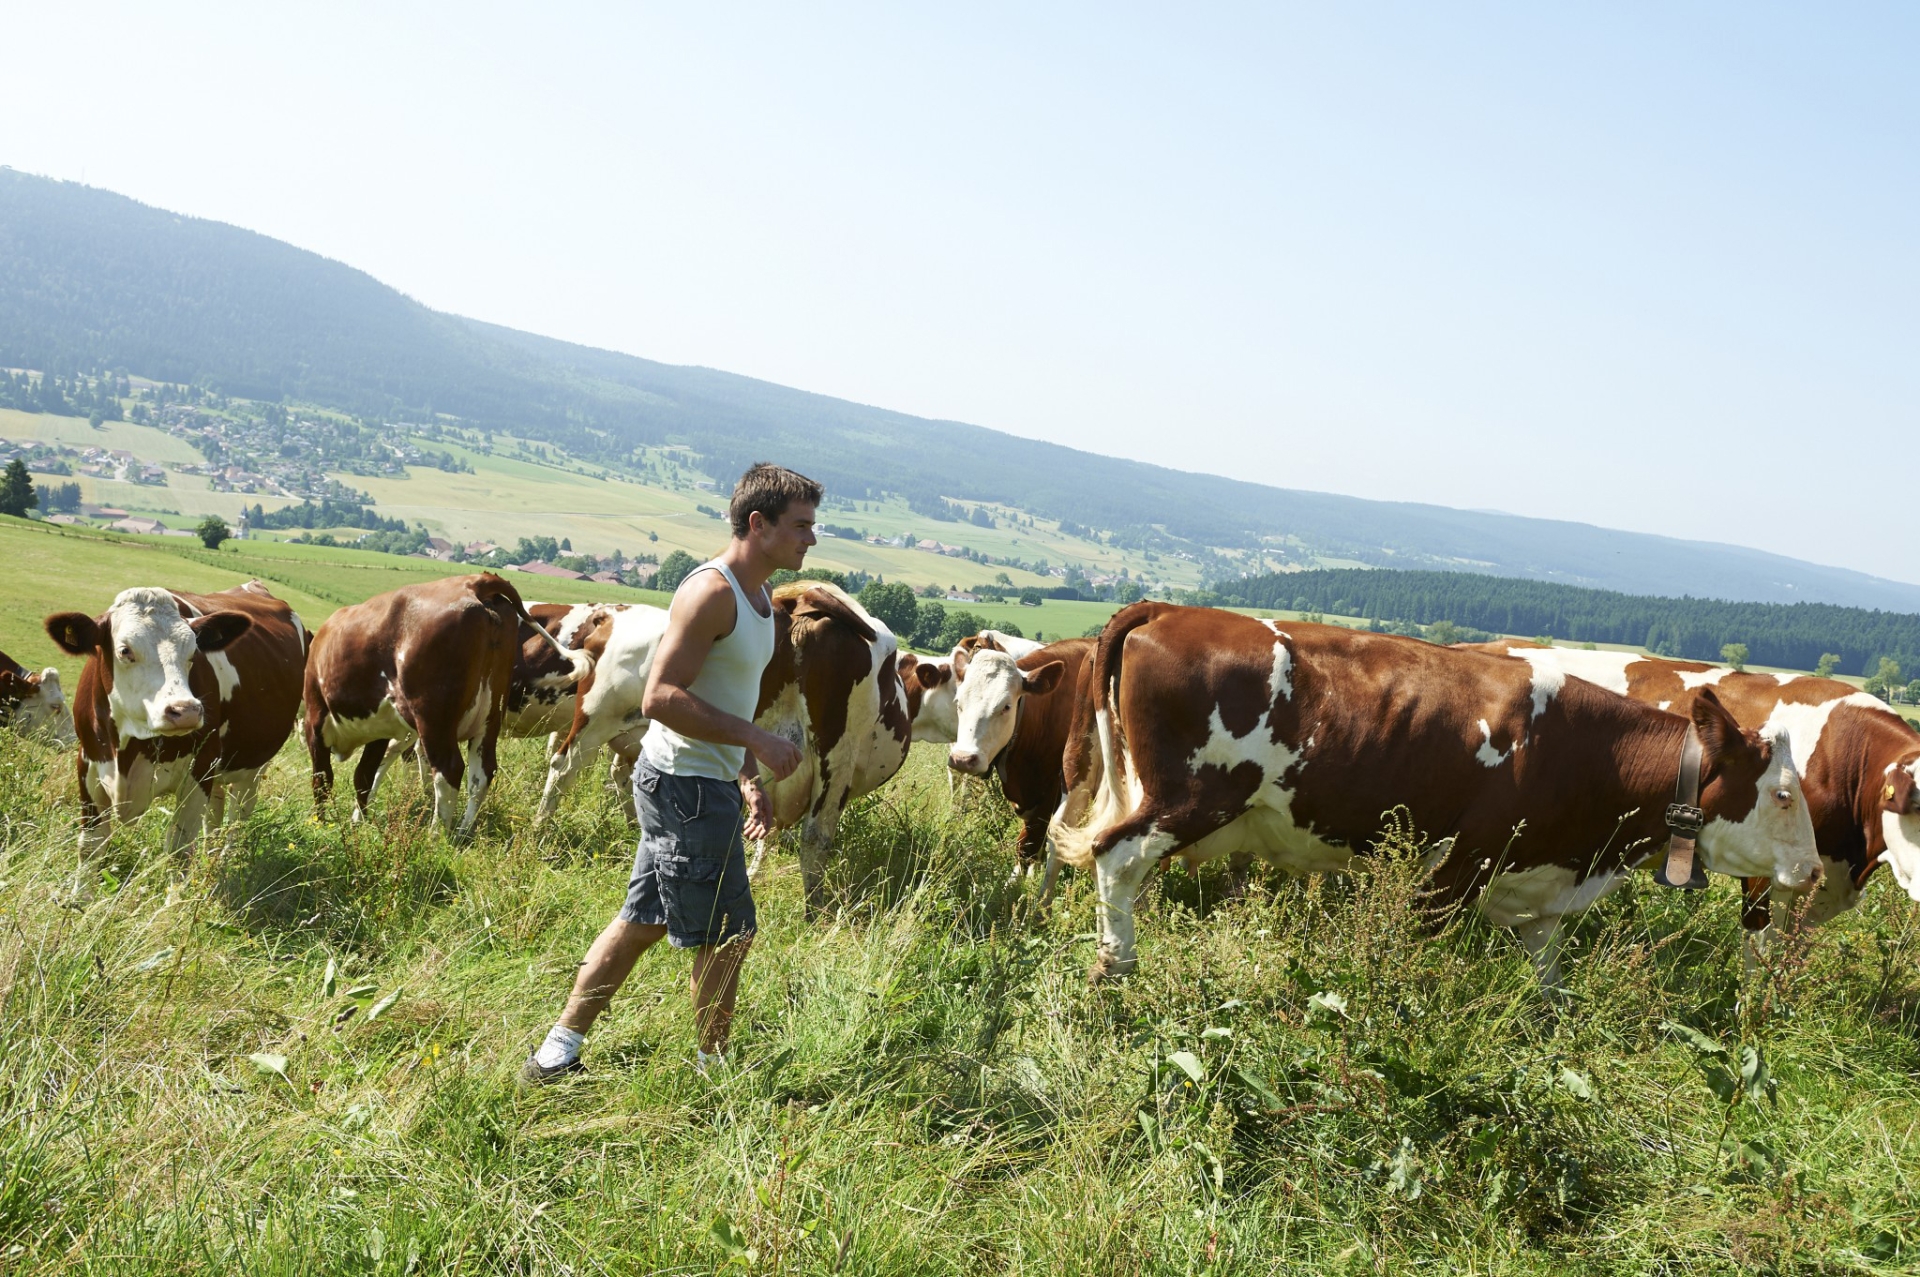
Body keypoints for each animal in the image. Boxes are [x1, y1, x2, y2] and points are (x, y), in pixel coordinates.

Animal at [45, 583, 305, 860]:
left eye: (193, 653)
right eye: (125, 651)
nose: (186, 710)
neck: (125, 750)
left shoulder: (199, 769)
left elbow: (179, 850)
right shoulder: (88, 764)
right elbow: (90, 847)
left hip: (255, 764)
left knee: (239, 813)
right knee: (215, 812)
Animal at [299, 576, 579, 837]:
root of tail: (473, 582)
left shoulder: (316, 719)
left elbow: (322, 778)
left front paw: (321, 823)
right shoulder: (379, 732)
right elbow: (364, 777)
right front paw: (359, 821)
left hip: (433, 718)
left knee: (449, 769)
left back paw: (436, 834)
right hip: (489, 717)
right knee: (482, 773)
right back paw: (463, 831)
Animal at [944, 633, 1098, 891]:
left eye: (1005, 706)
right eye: (958, 703)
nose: (963, 759)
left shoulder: (1052, 793)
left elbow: (1029, 844)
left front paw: (1011, 889)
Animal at [1052, 602, 1812, 979]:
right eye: (1782, 795)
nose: (1810, 868)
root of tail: (1168, 610)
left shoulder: (1538, 888)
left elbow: (1549, 984)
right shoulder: (1456, 869)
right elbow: (1411, 956)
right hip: (1188, 796)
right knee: (1116, 857)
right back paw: (1116, 964)